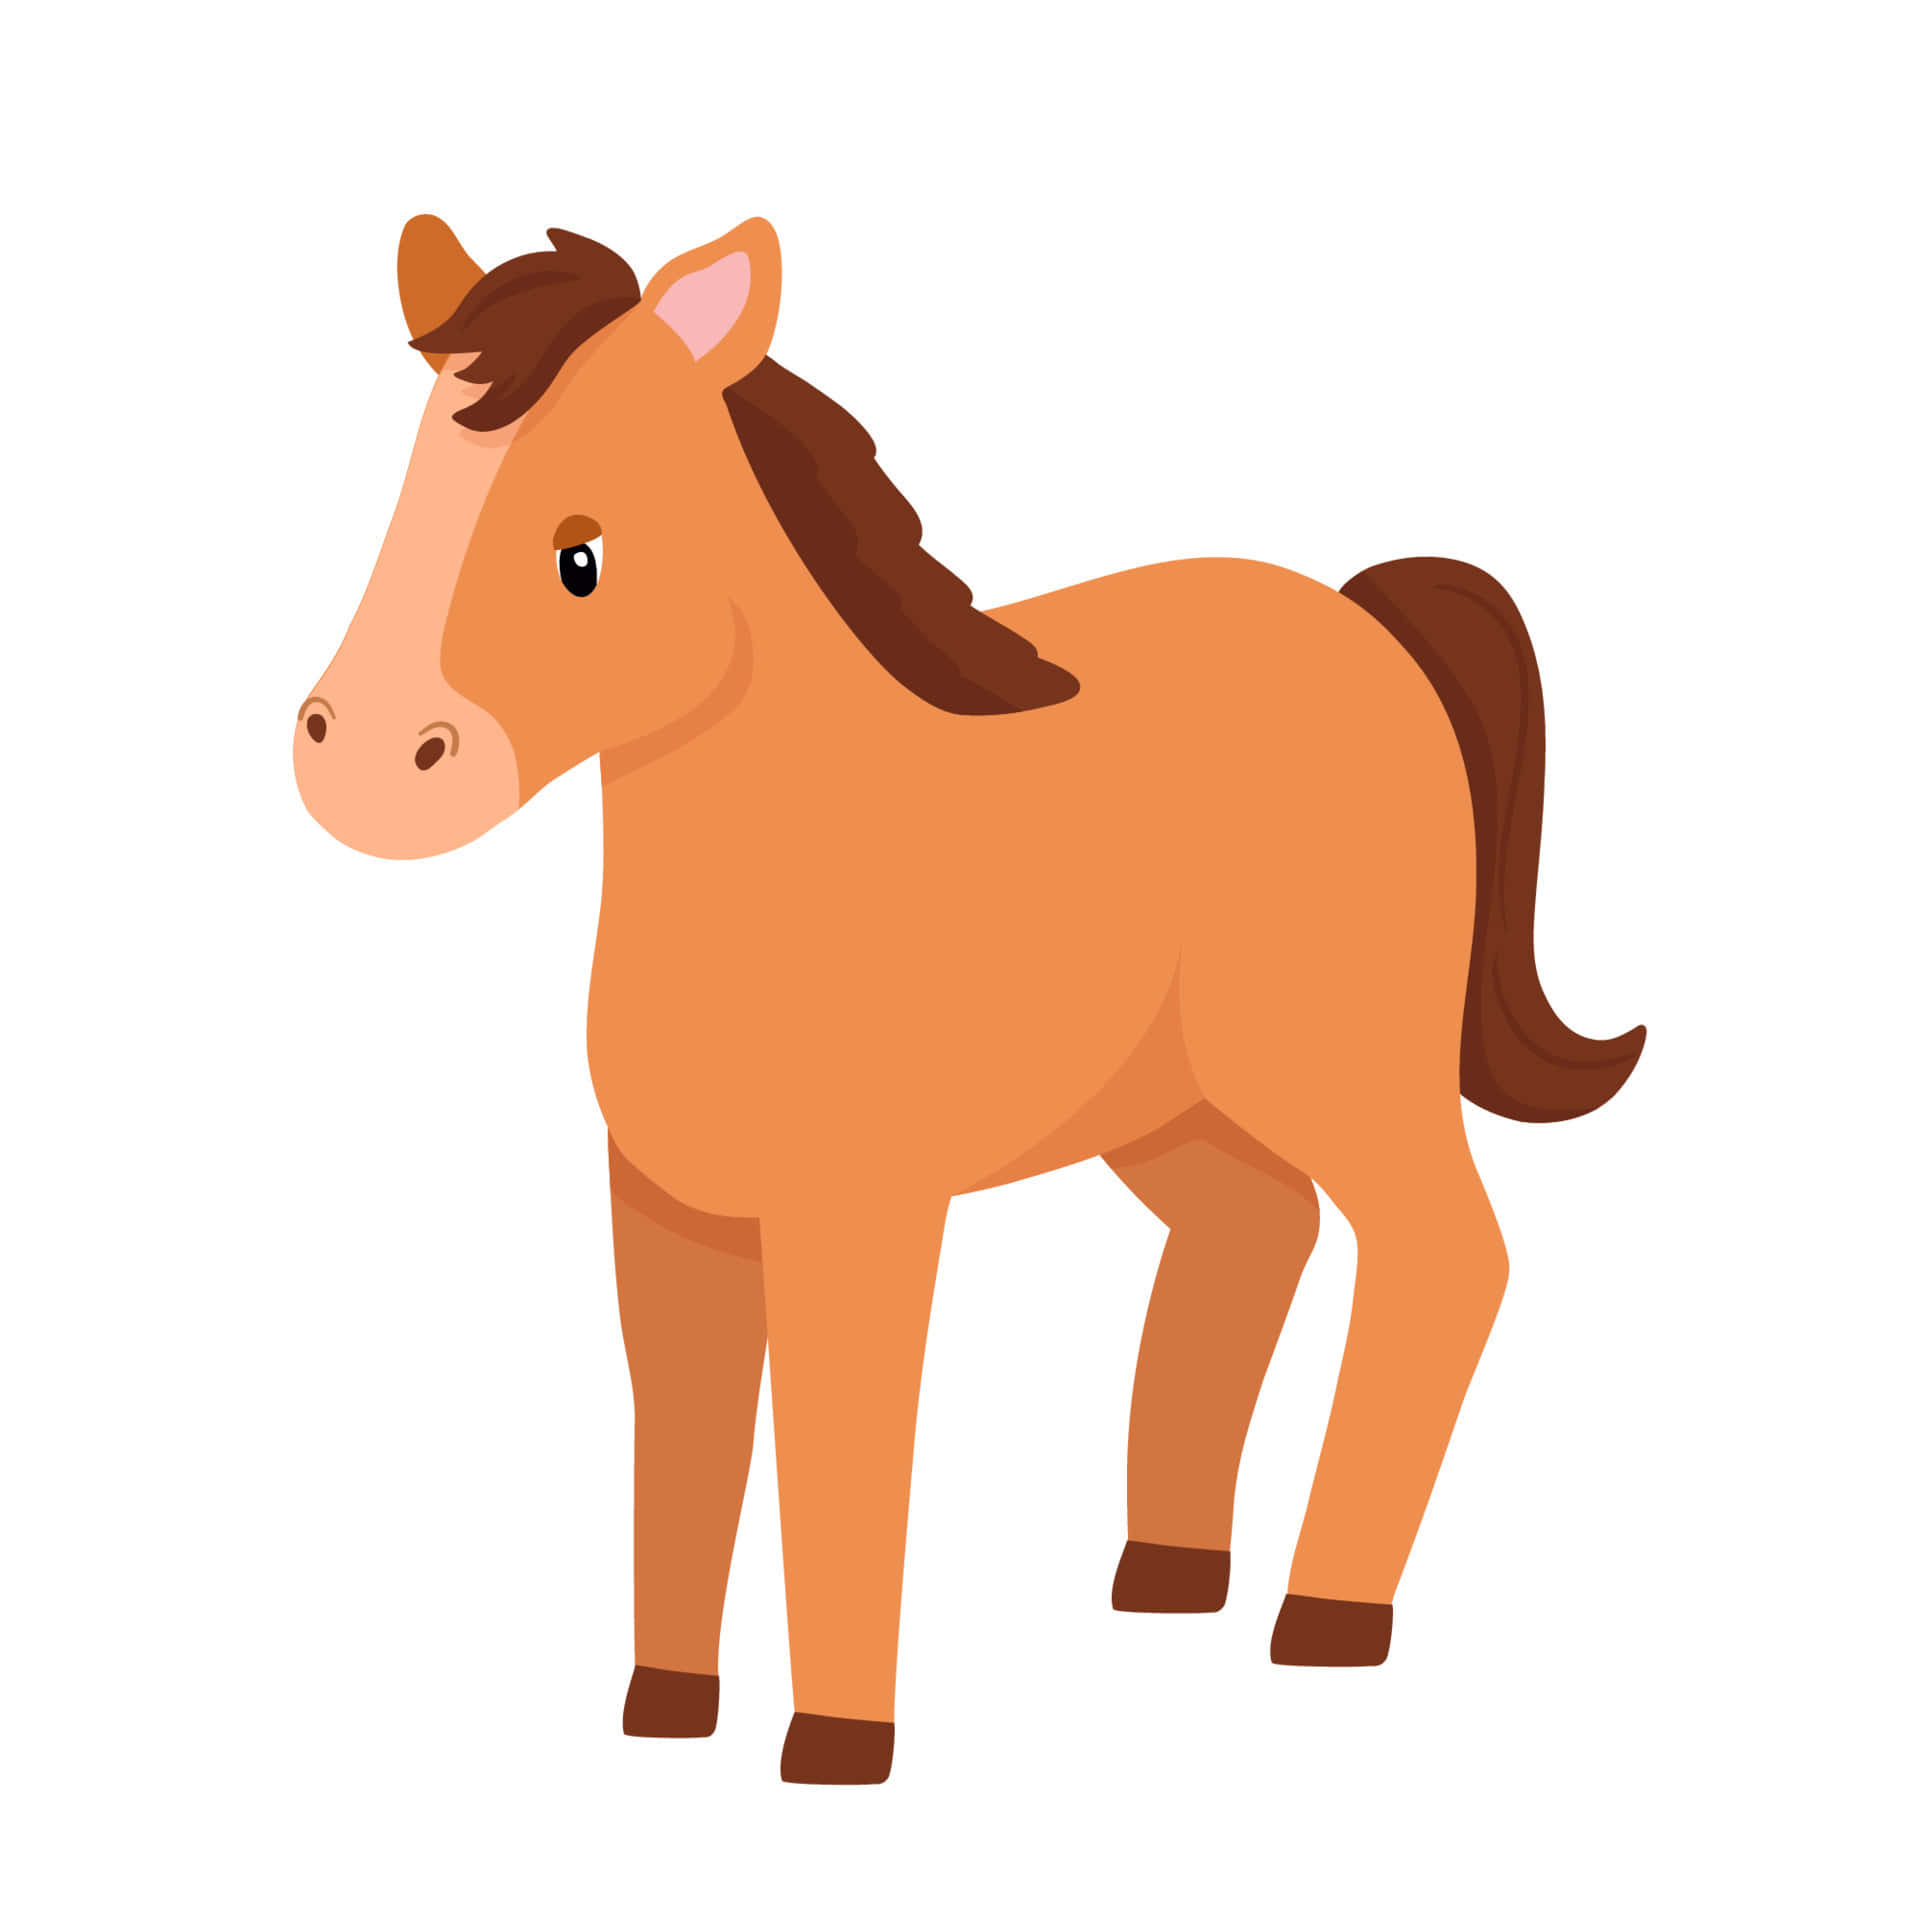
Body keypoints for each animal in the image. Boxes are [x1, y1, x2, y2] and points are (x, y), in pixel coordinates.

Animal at [294, 214, 1644, 1785]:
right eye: (407, 501)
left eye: (582, 556)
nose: (362, 758)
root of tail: (1367, 627)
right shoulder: (667, 1212)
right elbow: (685, 1433)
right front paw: (665, 1712)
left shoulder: (861, 1216)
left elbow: (844, 1439)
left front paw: (834, 1741)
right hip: (1169, 1105)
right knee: (1260, 1232)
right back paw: (1173, 1569)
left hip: (1339, 1070)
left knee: (1447, 1257)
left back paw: (1327, 1611)